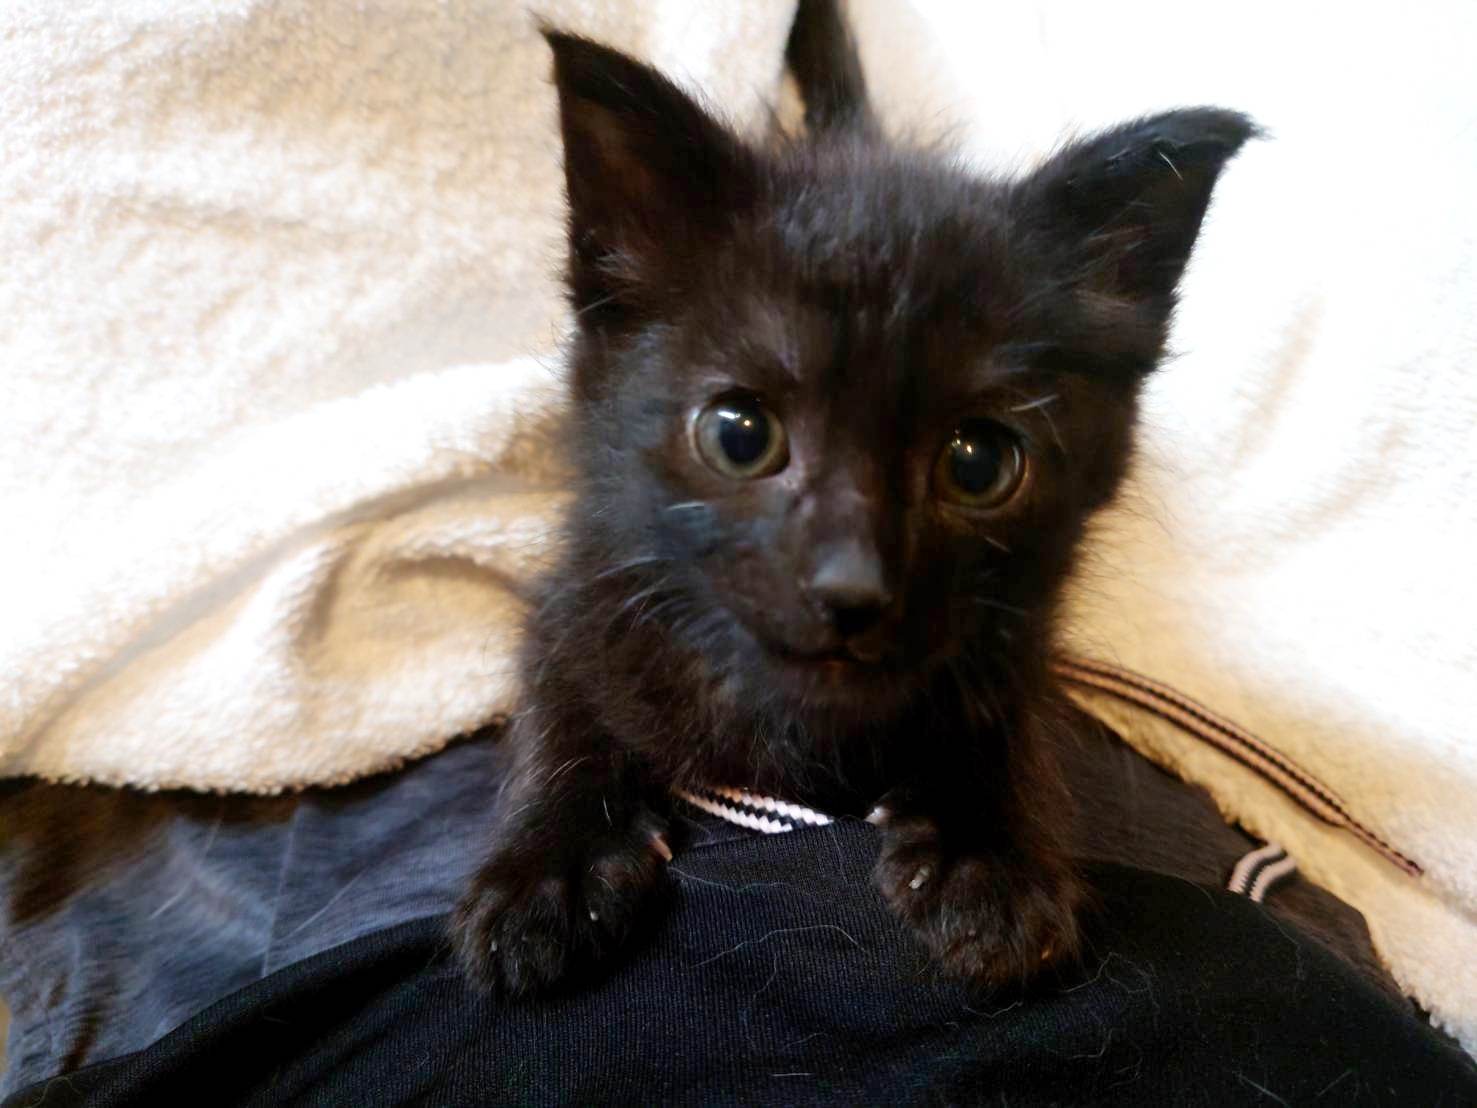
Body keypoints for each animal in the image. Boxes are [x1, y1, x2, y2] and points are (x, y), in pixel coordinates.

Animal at [451, 0, 1255, 995]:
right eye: (739, 435)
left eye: (978, 463)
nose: (851, 589)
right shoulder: (582, 585)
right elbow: (556, 702)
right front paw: (550, 867)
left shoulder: (1024, 629)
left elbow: (1009, 714)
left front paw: (986, 859)